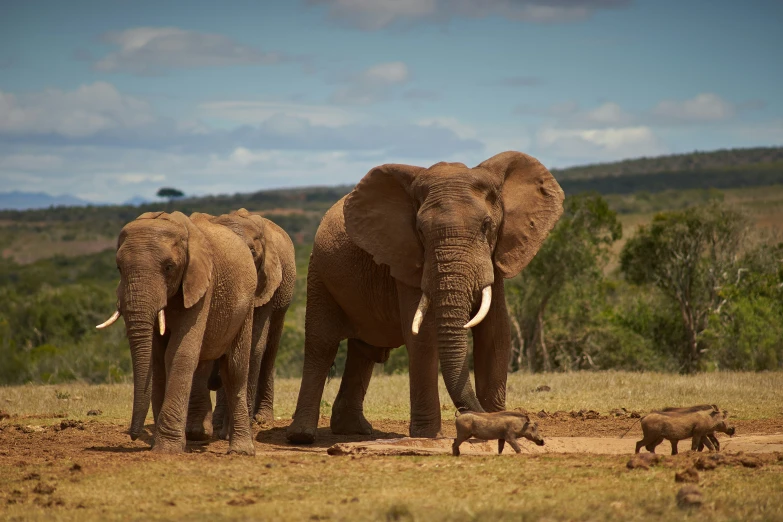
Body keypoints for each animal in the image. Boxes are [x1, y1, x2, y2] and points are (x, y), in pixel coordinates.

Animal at [96, 209, 258, 452]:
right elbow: (157, 360)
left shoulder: (202, 286)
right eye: (119, 268)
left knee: (235, 370)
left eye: (169, 267)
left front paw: (166, 449)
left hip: (247, 305)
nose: (134, 436)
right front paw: (163, 444)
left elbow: (178, 353)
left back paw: (241, 451)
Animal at [184, 207, 298, 438]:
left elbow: (254, 344)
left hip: (283, 298)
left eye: (253, 252)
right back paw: (219, 421)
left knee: (271, 347)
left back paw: (262, 418)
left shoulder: (266, 283)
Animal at [286, 150, 564, 442]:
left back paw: (355, 430)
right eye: (420, 230)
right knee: (321, 345)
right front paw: (430, 435)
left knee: (364, 350)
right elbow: (424, 334)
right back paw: (302, 437)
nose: (471, 417)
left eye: (486, 226)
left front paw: (496, 425)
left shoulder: (495, 257)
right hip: (318, 273)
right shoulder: (406, 258)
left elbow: (495, 333)